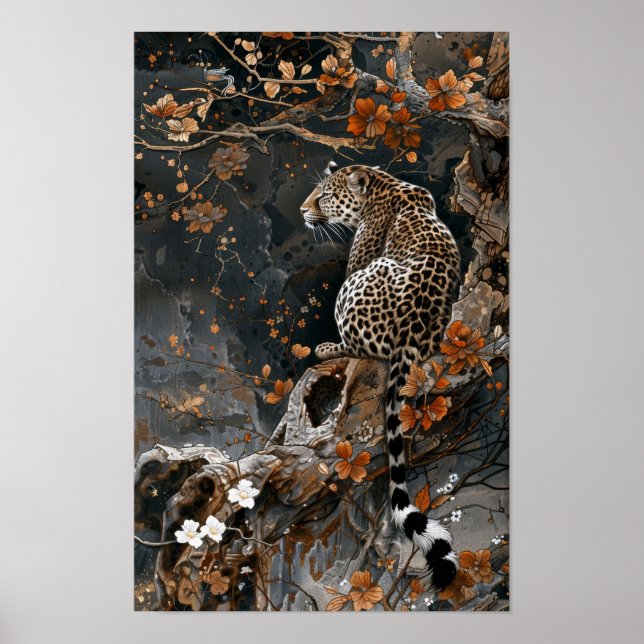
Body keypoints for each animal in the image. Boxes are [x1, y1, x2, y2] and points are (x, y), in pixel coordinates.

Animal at [300, 161, 461, 590]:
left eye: (324, 195)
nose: (304, 210)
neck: (381, 184)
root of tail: (408, 330)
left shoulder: (361, 257)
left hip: (358, 283)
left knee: (359, 348)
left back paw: (326, 349)